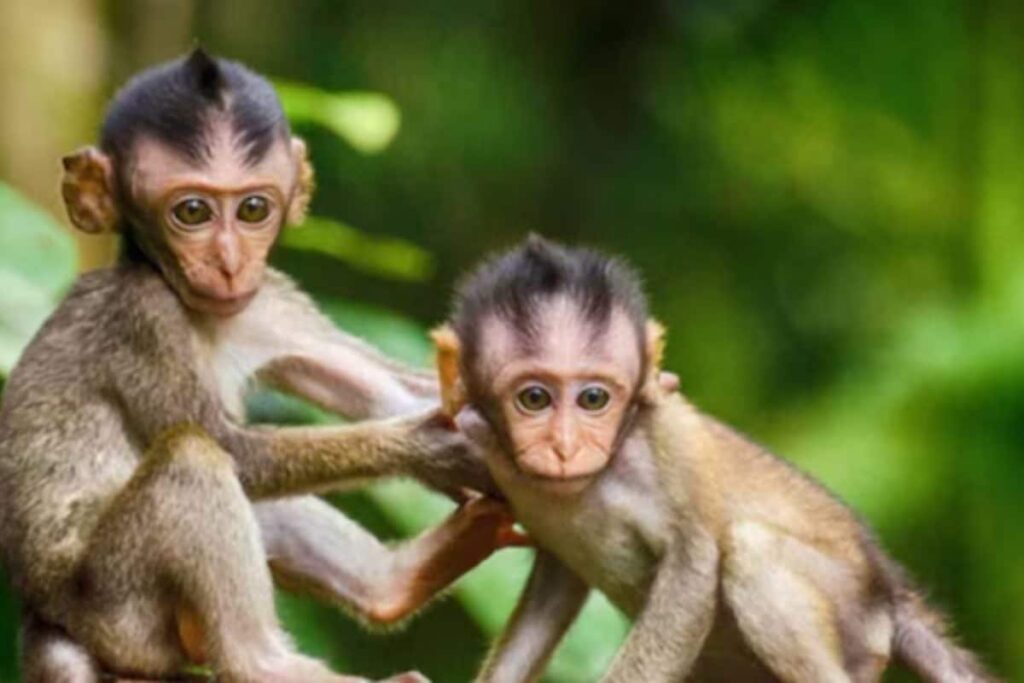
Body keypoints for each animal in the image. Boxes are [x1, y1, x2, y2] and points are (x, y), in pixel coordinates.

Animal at [0, 49, 518, 683]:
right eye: (191, 212)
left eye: (252, 208)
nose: (228, 263)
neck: (202, 314)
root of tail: (47, 617)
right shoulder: (143, 319)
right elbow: (232, 448)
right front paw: (429, 448)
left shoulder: (271, 300)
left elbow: (388, 391)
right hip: (119, 609)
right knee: (195, 457)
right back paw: (263, 662)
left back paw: (393, 585)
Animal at [431, 236, 998, 683]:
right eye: (534, 398)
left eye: (594, 399)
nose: (565, 448)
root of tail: (888, 591)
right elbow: (555, 585)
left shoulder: (667, 443)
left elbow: (693, 569)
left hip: (853, 618)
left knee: (752, 550)